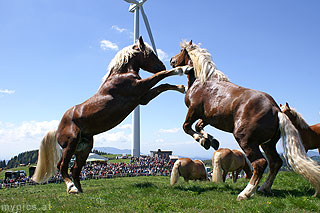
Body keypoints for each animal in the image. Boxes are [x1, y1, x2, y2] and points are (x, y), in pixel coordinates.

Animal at [31, 37, 188, 195]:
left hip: (84, 148)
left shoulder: (142, 99)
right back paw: (72, 188)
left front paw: (182, 88)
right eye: (150, 54)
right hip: (70, 144)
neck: (121, 74)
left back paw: (80, 190)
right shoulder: (138, 88)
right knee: (62, 166)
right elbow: (160, 77)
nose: (163, 65)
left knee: (75, 169)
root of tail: (57, 129)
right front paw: (182, 69)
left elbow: (163, 86)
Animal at [171, 40, 320, 200]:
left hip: (246, 140)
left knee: (260, 163)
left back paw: (245, 193)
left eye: (181, 51)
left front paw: (203, 141)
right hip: (267, 144)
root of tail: (276, 110)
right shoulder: (207, 117)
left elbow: (186, 127)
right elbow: (199, 126)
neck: (203, 81)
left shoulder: (193, 110)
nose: (172, 60)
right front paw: (211, 141)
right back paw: (264, 188)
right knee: (275, 162)